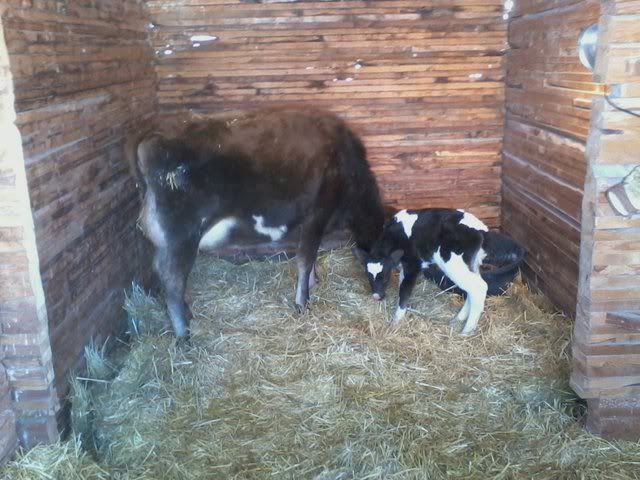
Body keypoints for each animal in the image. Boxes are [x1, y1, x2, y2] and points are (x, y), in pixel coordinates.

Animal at [127, 107, 384, 340]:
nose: (380, 297)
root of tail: (153, 129)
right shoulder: (317, 213)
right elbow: (305, 258)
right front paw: (302, 302)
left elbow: (310, 256)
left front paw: (313, 282)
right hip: (180, 236)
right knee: (173, 281)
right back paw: (184, 335)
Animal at [354, 208, 489, 335]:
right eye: (368, 276)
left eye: (386, 277)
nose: (376, 296)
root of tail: (480, 228)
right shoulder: (404, 267)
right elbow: (401, 286)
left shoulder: (413, 265)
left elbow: (404, 291)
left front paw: (396, 321)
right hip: (471, 265)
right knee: (472, 289)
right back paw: (459, 319)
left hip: (454, 264)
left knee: (479, 288)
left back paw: (466, 331)